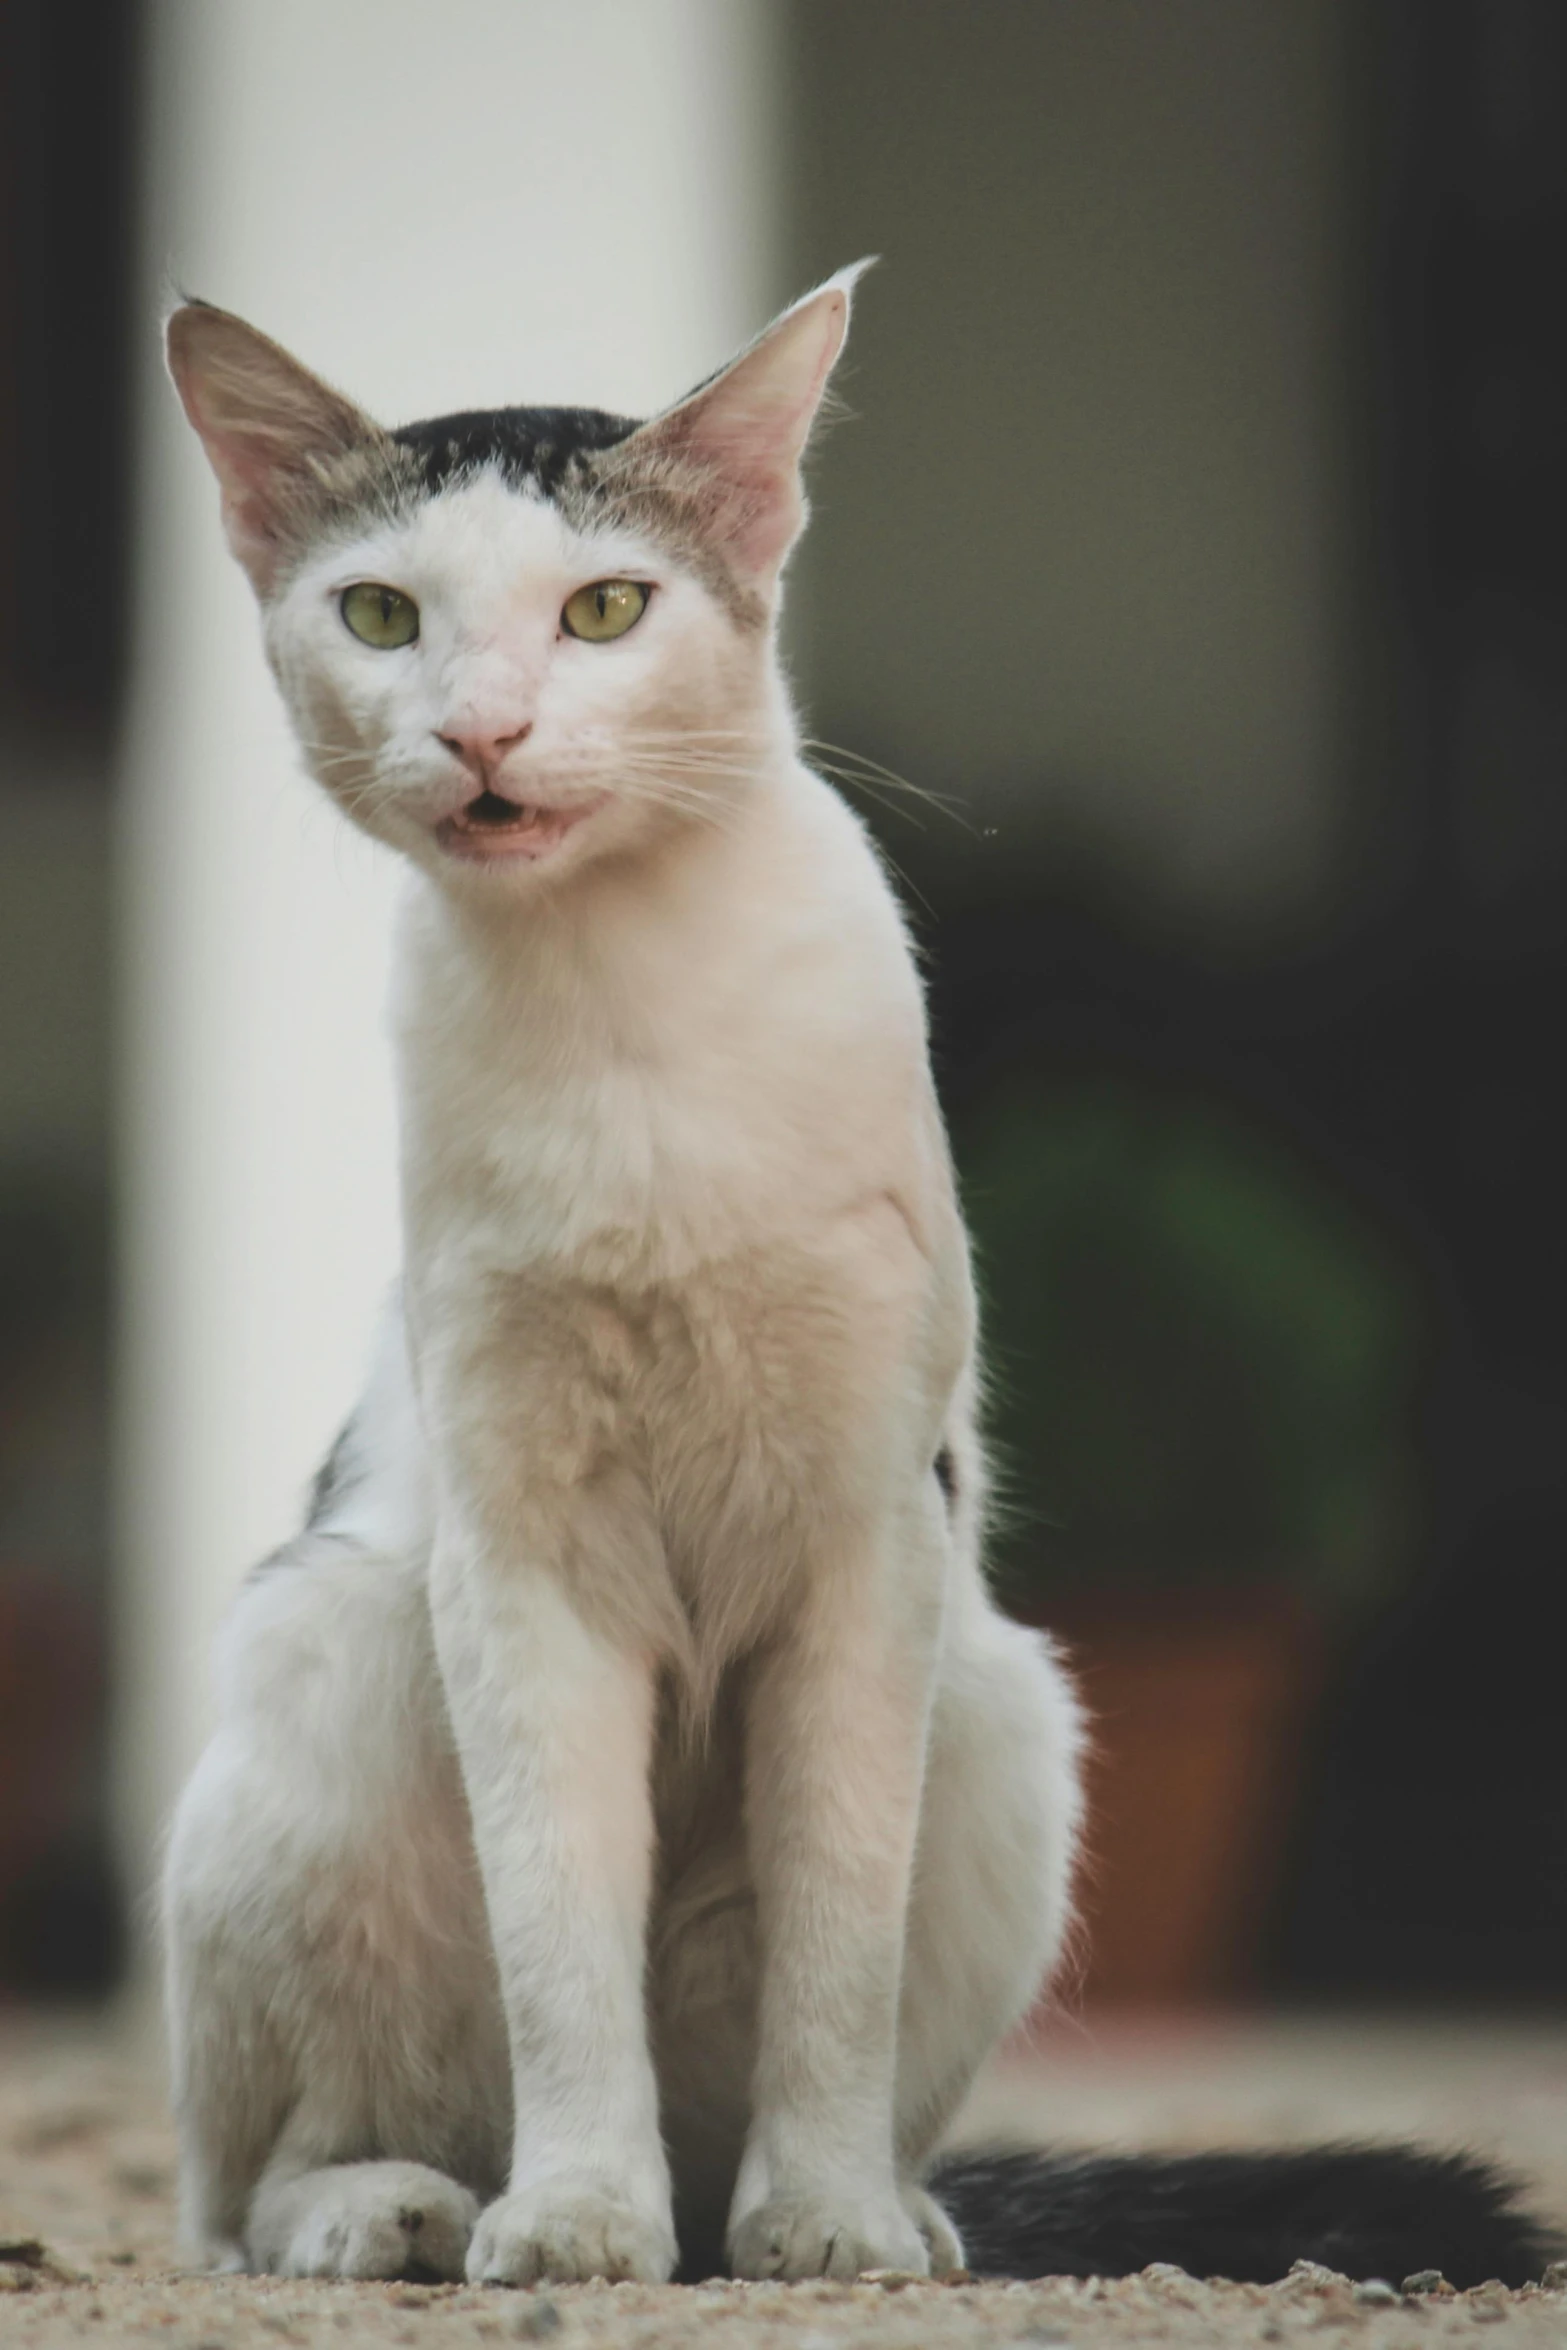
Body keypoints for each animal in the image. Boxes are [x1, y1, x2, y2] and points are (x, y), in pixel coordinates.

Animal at [162, 274, 1559, 2293]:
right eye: (380, 615)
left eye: (605, 609)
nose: (485, 731)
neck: (622, 1009)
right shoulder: (517, 1555)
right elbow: (556, 1937)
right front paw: (574, 2219)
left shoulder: (863, 1545)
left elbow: (839, 1942)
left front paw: (820, 2225)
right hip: (330, 1663)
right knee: (246, 2184)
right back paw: (402, 2206)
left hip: (1001, 1714)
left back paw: (887, 2214)